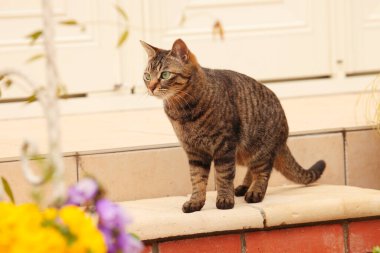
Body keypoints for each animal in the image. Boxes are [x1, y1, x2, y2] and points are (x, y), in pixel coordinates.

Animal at [141, 39, 326, 213]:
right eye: (147, 76)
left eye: (165, 74)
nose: (151, 87)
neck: (182, 111)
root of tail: (284, 135)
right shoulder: (195, 152)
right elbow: (197, 179)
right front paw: (195, 202)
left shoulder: (224, 145)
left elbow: (224, 176)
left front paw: (224, 199)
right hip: (245, 154)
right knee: (252, 170)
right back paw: (244, 187)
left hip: (259, 149)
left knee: (263, 171)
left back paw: (255, 192)